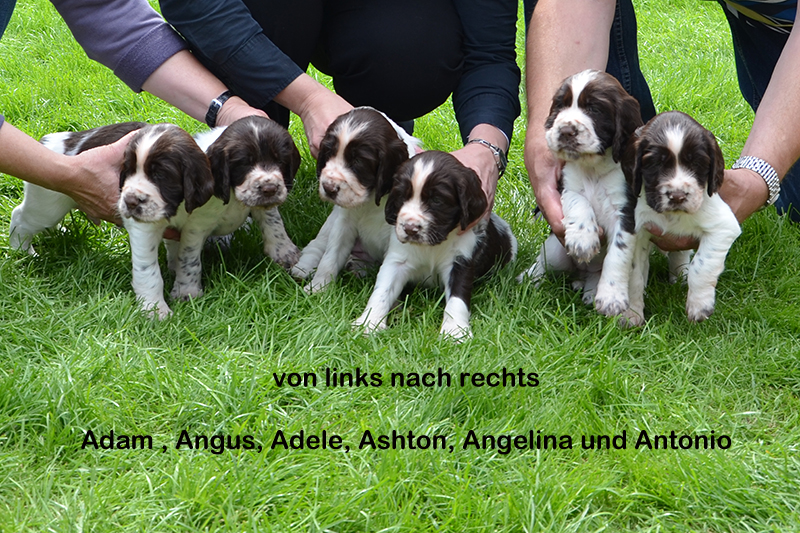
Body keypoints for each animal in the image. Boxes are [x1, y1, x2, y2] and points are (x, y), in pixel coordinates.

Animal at [292, 106, 418, 294]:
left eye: (358, 161)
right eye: (329, 152)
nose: (328, 188)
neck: (371, 201)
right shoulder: (344, 223)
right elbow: (330, 257)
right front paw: (318, 288)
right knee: (318, 243)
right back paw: (303, 267)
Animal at [354, 150, 516, 340]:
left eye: (437, 200)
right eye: (401, 196)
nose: (410, 228)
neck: (433, 245)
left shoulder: (460, 261)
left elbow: (457, 299)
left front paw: (455, 332)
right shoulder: (397, 260)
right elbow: (382, 291)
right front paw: (368, 323)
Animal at [520, 68, 644, 314]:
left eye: (594, 109)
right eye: (561, 106)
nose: (566, 130)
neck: (593, 168)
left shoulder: (625, 211)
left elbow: (617, 255)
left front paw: (611, 298)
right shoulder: (567, 187)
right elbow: (579, 203)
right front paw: (582, 240)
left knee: (594, 273)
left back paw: (589, 291)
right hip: (556, 251)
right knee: (542, 263)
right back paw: (527, 279)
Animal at [620, 111, 740, 324]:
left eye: (697, 163)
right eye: (655, 163)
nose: (677, 196)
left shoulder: (723, 227)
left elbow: (702, 266)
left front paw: (700, 306)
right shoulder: (637, 232)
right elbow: (634, 275)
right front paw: (631, 314)